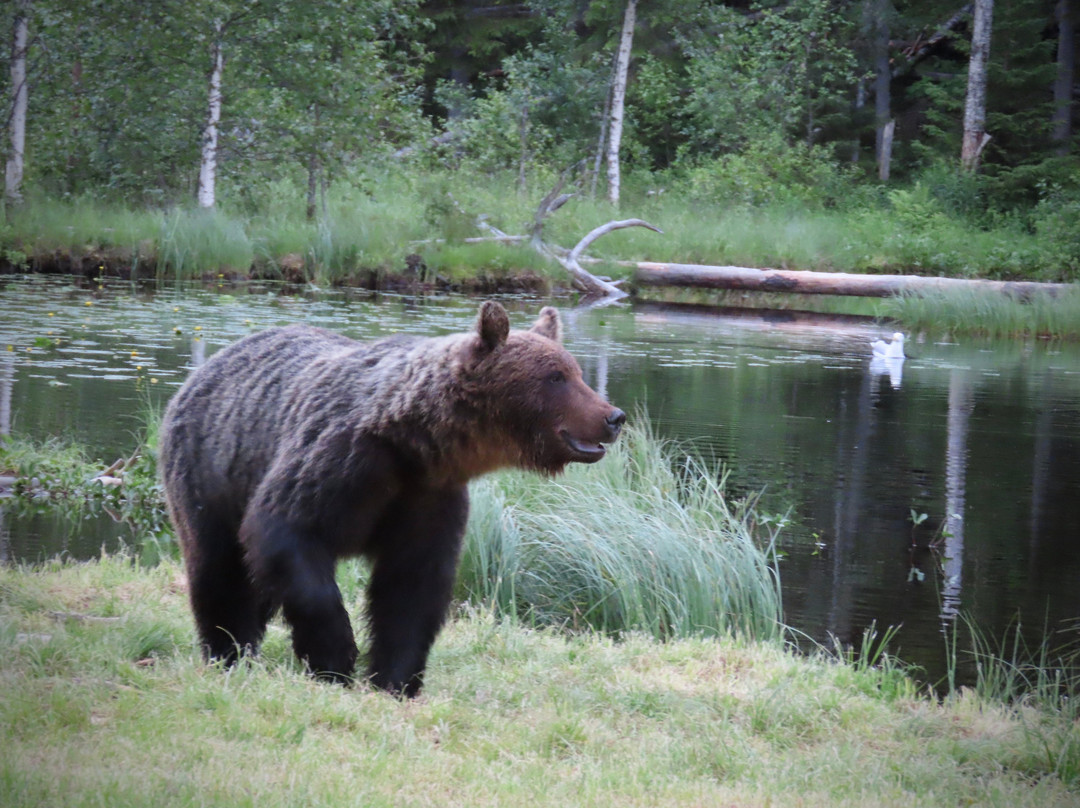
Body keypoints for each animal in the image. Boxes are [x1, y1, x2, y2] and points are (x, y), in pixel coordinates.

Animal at [158, 302, 626, 695]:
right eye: (555, 377)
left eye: (576, 371)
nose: (613, 416)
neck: (414, 445)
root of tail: (210, 364)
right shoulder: (340, 463)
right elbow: (286, 531)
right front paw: (335, 657)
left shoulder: (427, 497)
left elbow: (410, 589)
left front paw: (395, 679)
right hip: (211, 473)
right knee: (219, 569)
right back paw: (228, 651)